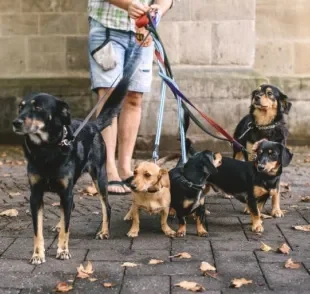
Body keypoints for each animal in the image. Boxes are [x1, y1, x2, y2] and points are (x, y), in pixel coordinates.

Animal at [11, 55, 139, 264]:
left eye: (37, 107)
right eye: (21, 107)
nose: (16, 122)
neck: (47, 150)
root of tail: (93, 125)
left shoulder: (66, 191)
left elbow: (67, 228)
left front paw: (63, 250)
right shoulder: (36, 195)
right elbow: (38, 231)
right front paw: (37, 254)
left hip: (99, 177)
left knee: (106, 206)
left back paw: (104, 231)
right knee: (71, 207)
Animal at [234, 84, 292, 217]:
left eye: (269, 93)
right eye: (257, 91)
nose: (256, 97)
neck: (265, 125)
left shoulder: (279, 162)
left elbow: (276, 191)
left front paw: (276, 210)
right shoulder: (252, 157)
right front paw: (249, 207)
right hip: (237, 149)